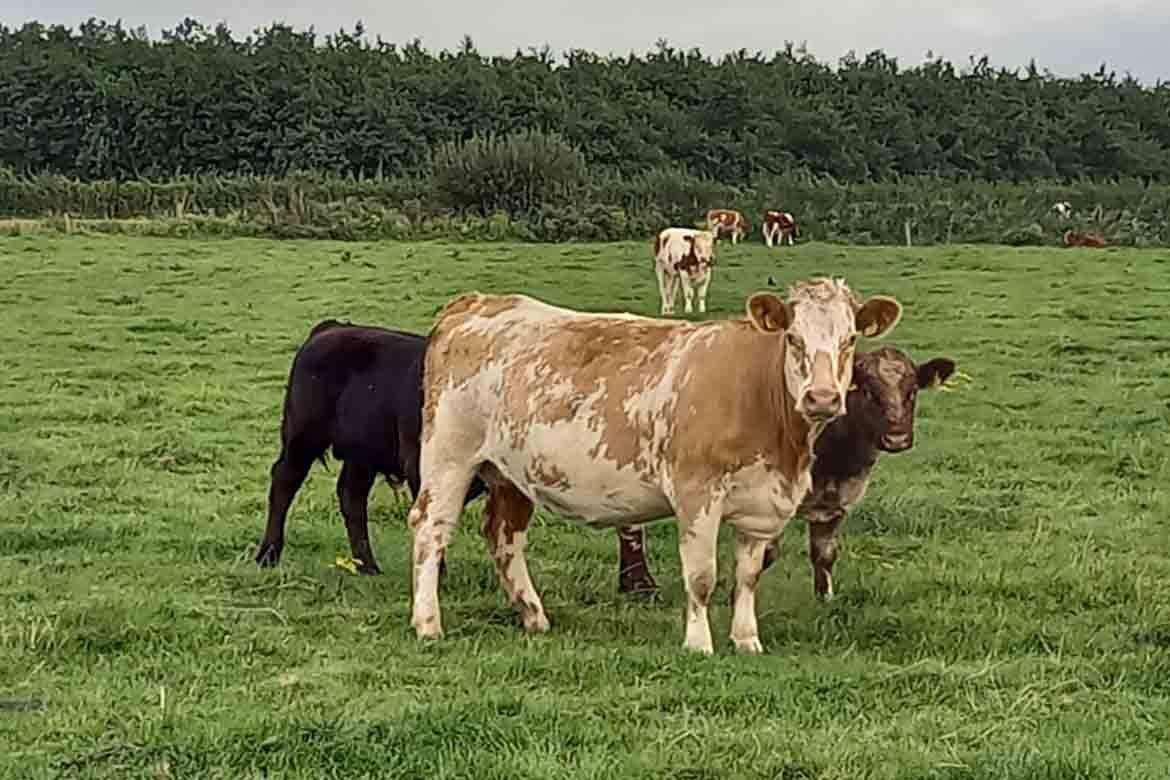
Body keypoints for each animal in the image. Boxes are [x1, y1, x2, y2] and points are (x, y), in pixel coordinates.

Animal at [253, 320, 486, 577]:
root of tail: (330, 328)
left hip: (362, 452)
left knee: (351, 495)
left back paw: (367, 565)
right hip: (303, 436)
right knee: (285, 481)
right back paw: (268, 555)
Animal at [407, 277, 898, 654]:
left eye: (849, 340)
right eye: (793, 339)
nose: (822, 398)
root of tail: (477, 302)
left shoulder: (763, 505)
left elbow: (747, 577)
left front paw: (746, 640)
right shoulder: (697, 493)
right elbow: (702, 577)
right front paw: (699, 643)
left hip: (512, 473)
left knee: (504, 537)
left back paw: (533, 615)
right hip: (449, 457)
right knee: (432, 529)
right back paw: (428, 622)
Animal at [608, 343, 954, 603]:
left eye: (912, 391)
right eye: (869, 391)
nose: (897, 439)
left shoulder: (837, 502)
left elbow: (825, 553)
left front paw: (824, 599)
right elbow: (765, 556)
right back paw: (640, 584)